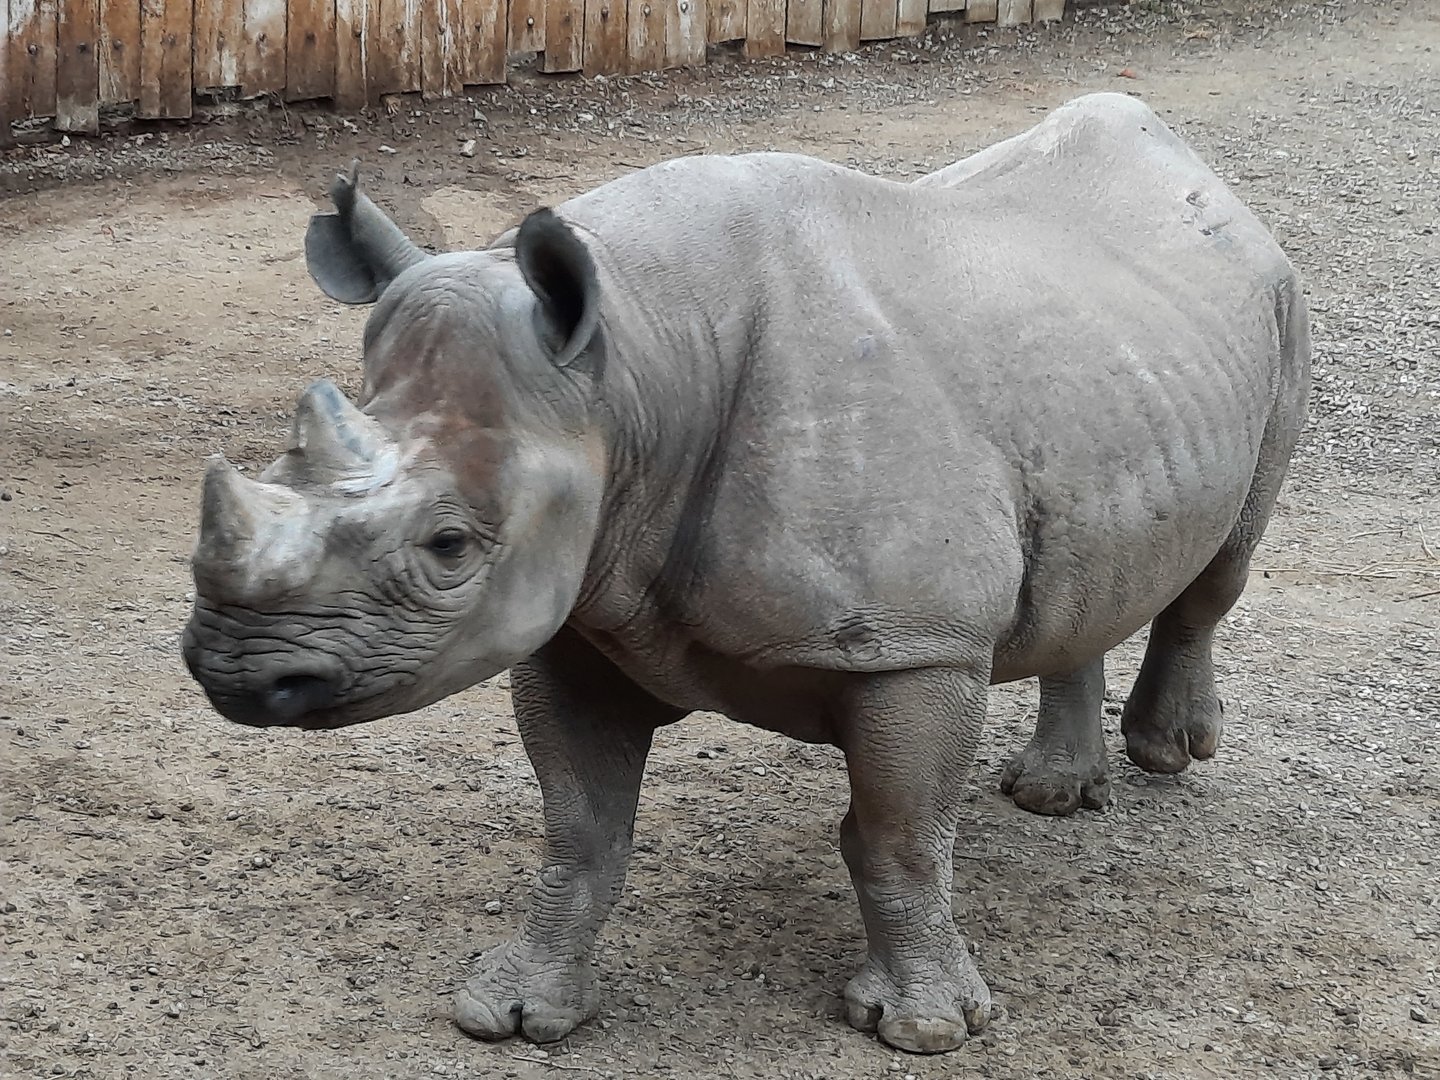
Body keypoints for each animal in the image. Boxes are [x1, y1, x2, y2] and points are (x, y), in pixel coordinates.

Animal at [181, 92, 1310, 1055]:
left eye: (450, 546)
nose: (235, 671)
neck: (636, 369)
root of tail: (1197, 170)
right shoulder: (576, 616)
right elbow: (579, 831)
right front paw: (511, 1010)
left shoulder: (916, 643)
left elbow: (901, 836)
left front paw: (923, 1028)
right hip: (1115, 354)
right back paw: (1052, 796)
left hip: (1277, 301)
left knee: (1223, 563)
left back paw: (1166, 753)